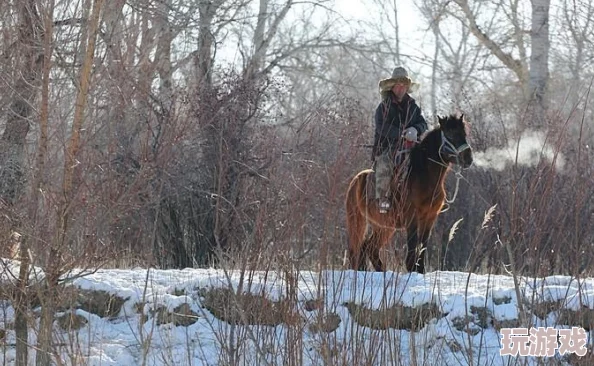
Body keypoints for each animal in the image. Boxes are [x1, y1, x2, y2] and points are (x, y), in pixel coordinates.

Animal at [342, 114, 472, 272]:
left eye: (464, 134)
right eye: (450, 134)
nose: (468, 158)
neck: (424, 178)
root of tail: (355, 181)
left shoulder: (429, 218)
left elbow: (422, 247)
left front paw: (420, 270)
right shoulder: (412, 217)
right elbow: (412, 247)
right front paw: (411, 269)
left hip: (384, 227)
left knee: (369, 248)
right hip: (357, 221)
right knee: (358, 249)